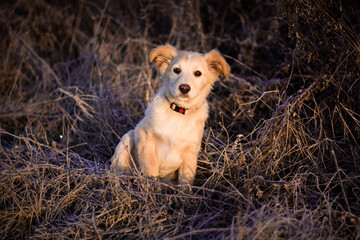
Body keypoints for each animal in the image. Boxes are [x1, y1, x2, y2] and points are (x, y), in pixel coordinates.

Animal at [109, 44, 229, 186]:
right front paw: (152, 188)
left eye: (198, 73)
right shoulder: (144, 134)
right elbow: (150, 165)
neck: (179, 113)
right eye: (176, 70)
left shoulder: (191, 151)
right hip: (127, 138)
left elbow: (186, 181)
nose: (184, 88)